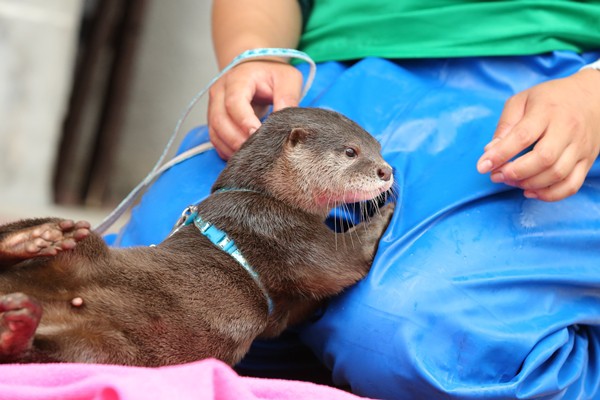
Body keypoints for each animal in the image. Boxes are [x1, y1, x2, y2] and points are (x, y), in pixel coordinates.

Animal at [0, 108, 394, 368]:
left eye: (379, 148)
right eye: (350, 151)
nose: (387, 171)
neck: (262, 197)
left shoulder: (284, 303)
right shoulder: (286, 233)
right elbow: (343, 262)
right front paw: (387, 210)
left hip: (95, 347)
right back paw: (33, 243)